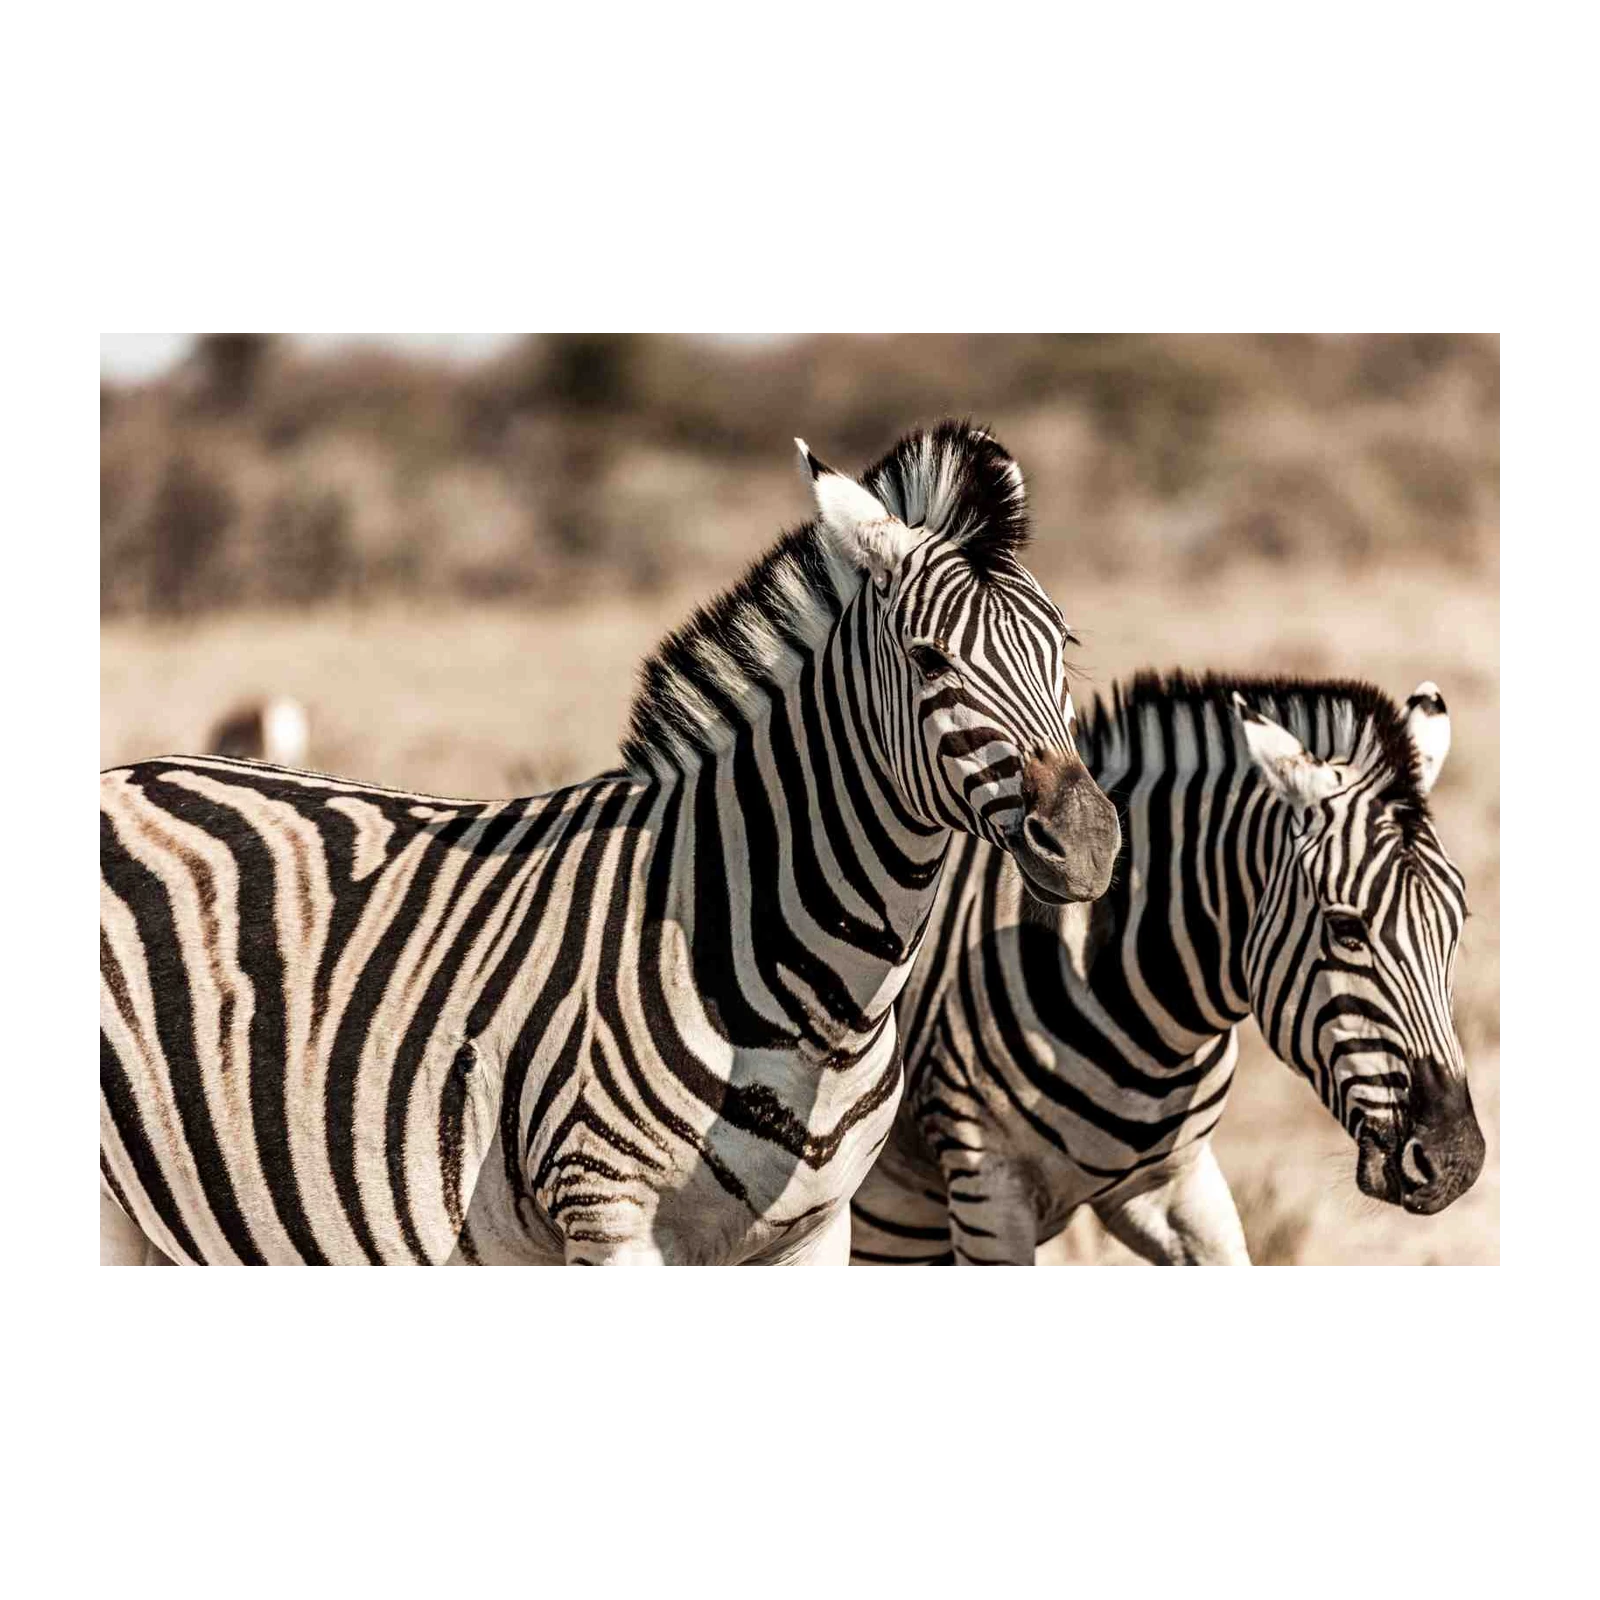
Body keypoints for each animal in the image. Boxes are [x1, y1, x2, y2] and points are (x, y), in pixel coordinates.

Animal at [97, 420, 1122, 1271]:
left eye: (1066, 647)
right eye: (927, 659)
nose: (1086, 843)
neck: (821, 1006)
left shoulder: (813, 1230)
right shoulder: (607, 1214)